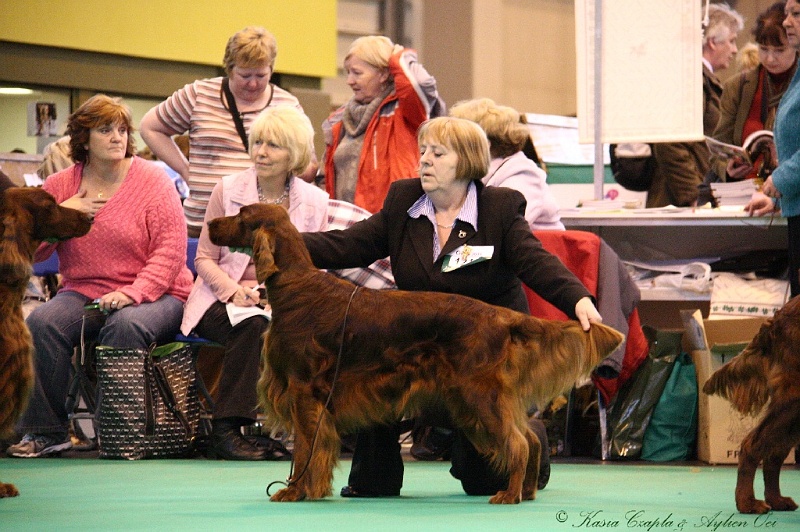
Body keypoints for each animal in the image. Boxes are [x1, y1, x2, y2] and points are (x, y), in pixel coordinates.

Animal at [206, 203, 624, 502]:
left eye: (241, 214)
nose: (209, 224)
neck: (296, 287)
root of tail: (501, 315)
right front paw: (310, 491)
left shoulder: (303, 390)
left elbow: (307, 450)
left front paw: (295, 491)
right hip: (479, 398)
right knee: (530, 437)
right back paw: (527, 490)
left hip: (476, 394)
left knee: (519, 442)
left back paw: (508, 494)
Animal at [704, 296, 800, 516]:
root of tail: (777, 318)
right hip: (794, 399)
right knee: (752, 445)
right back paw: (747, 502)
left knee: (773, 454)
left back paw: (776, 500)